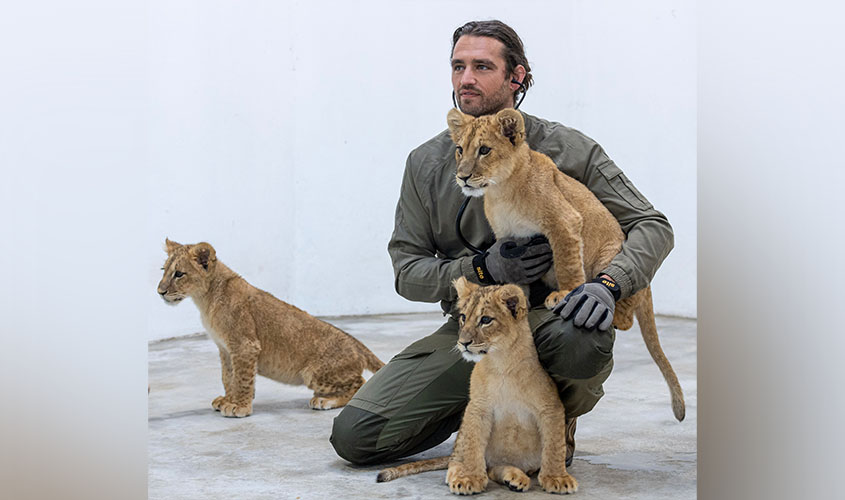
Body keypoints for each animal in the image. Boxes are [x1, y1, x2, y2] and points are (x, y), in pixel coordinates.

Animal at [156, 239, 384, 416]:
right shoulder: (225, 348)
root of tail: (356, 343)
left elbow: (242, 378)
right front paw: (228, 400)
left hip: (312, 372)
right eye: (164, 270)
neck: (205, 299)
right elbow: (228, 376)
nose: (160, 292)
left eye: (179, 274)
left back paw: (325, 400)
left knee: (361, 382)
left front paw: (240, 407)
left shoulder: (245, 345)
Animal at [377, 278, 577, 495]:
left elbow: (554, 446)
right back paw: (475, 474)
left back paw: (514, 477)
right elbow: (473, 446)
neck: (502, 363)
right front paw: (469, 478)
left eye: (486, 320)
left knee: (494, 468)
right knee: (464, 459)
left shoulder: (550, 406)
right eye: (463, 317)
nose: (463, 342)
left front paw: (557, 478)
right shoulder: (478, 407)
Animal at [446, 108, 684, 422]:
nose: (462, 178)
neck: (502, 190)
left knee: (626, 316)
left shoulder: (565, 221)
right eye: (460, 149)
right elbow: (514, 280)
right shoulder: (510, 243)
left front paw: (568, 294)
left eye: (484, 150)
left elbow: (566, 262)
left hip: (612, 251)